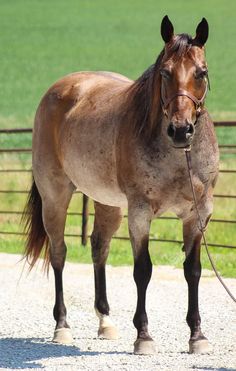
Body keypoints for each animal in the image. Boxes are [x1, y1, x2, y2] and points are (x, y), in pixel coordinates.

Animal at [22, 16, 219, 356]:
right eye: (165, 73)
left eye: (201, 72)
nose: (181, 130)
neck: (178, 156)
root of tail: (61, 88)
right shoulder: (140, 213)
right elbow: (143, 270)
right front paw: (144, 337)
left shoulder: (197, 214)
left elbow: (192, 271)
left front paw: (197, 336)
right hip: (55, 197)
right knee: (59, 253)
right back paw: (62, 327)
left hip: (108, 204)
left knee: (99, 247)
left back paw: (105, 322)